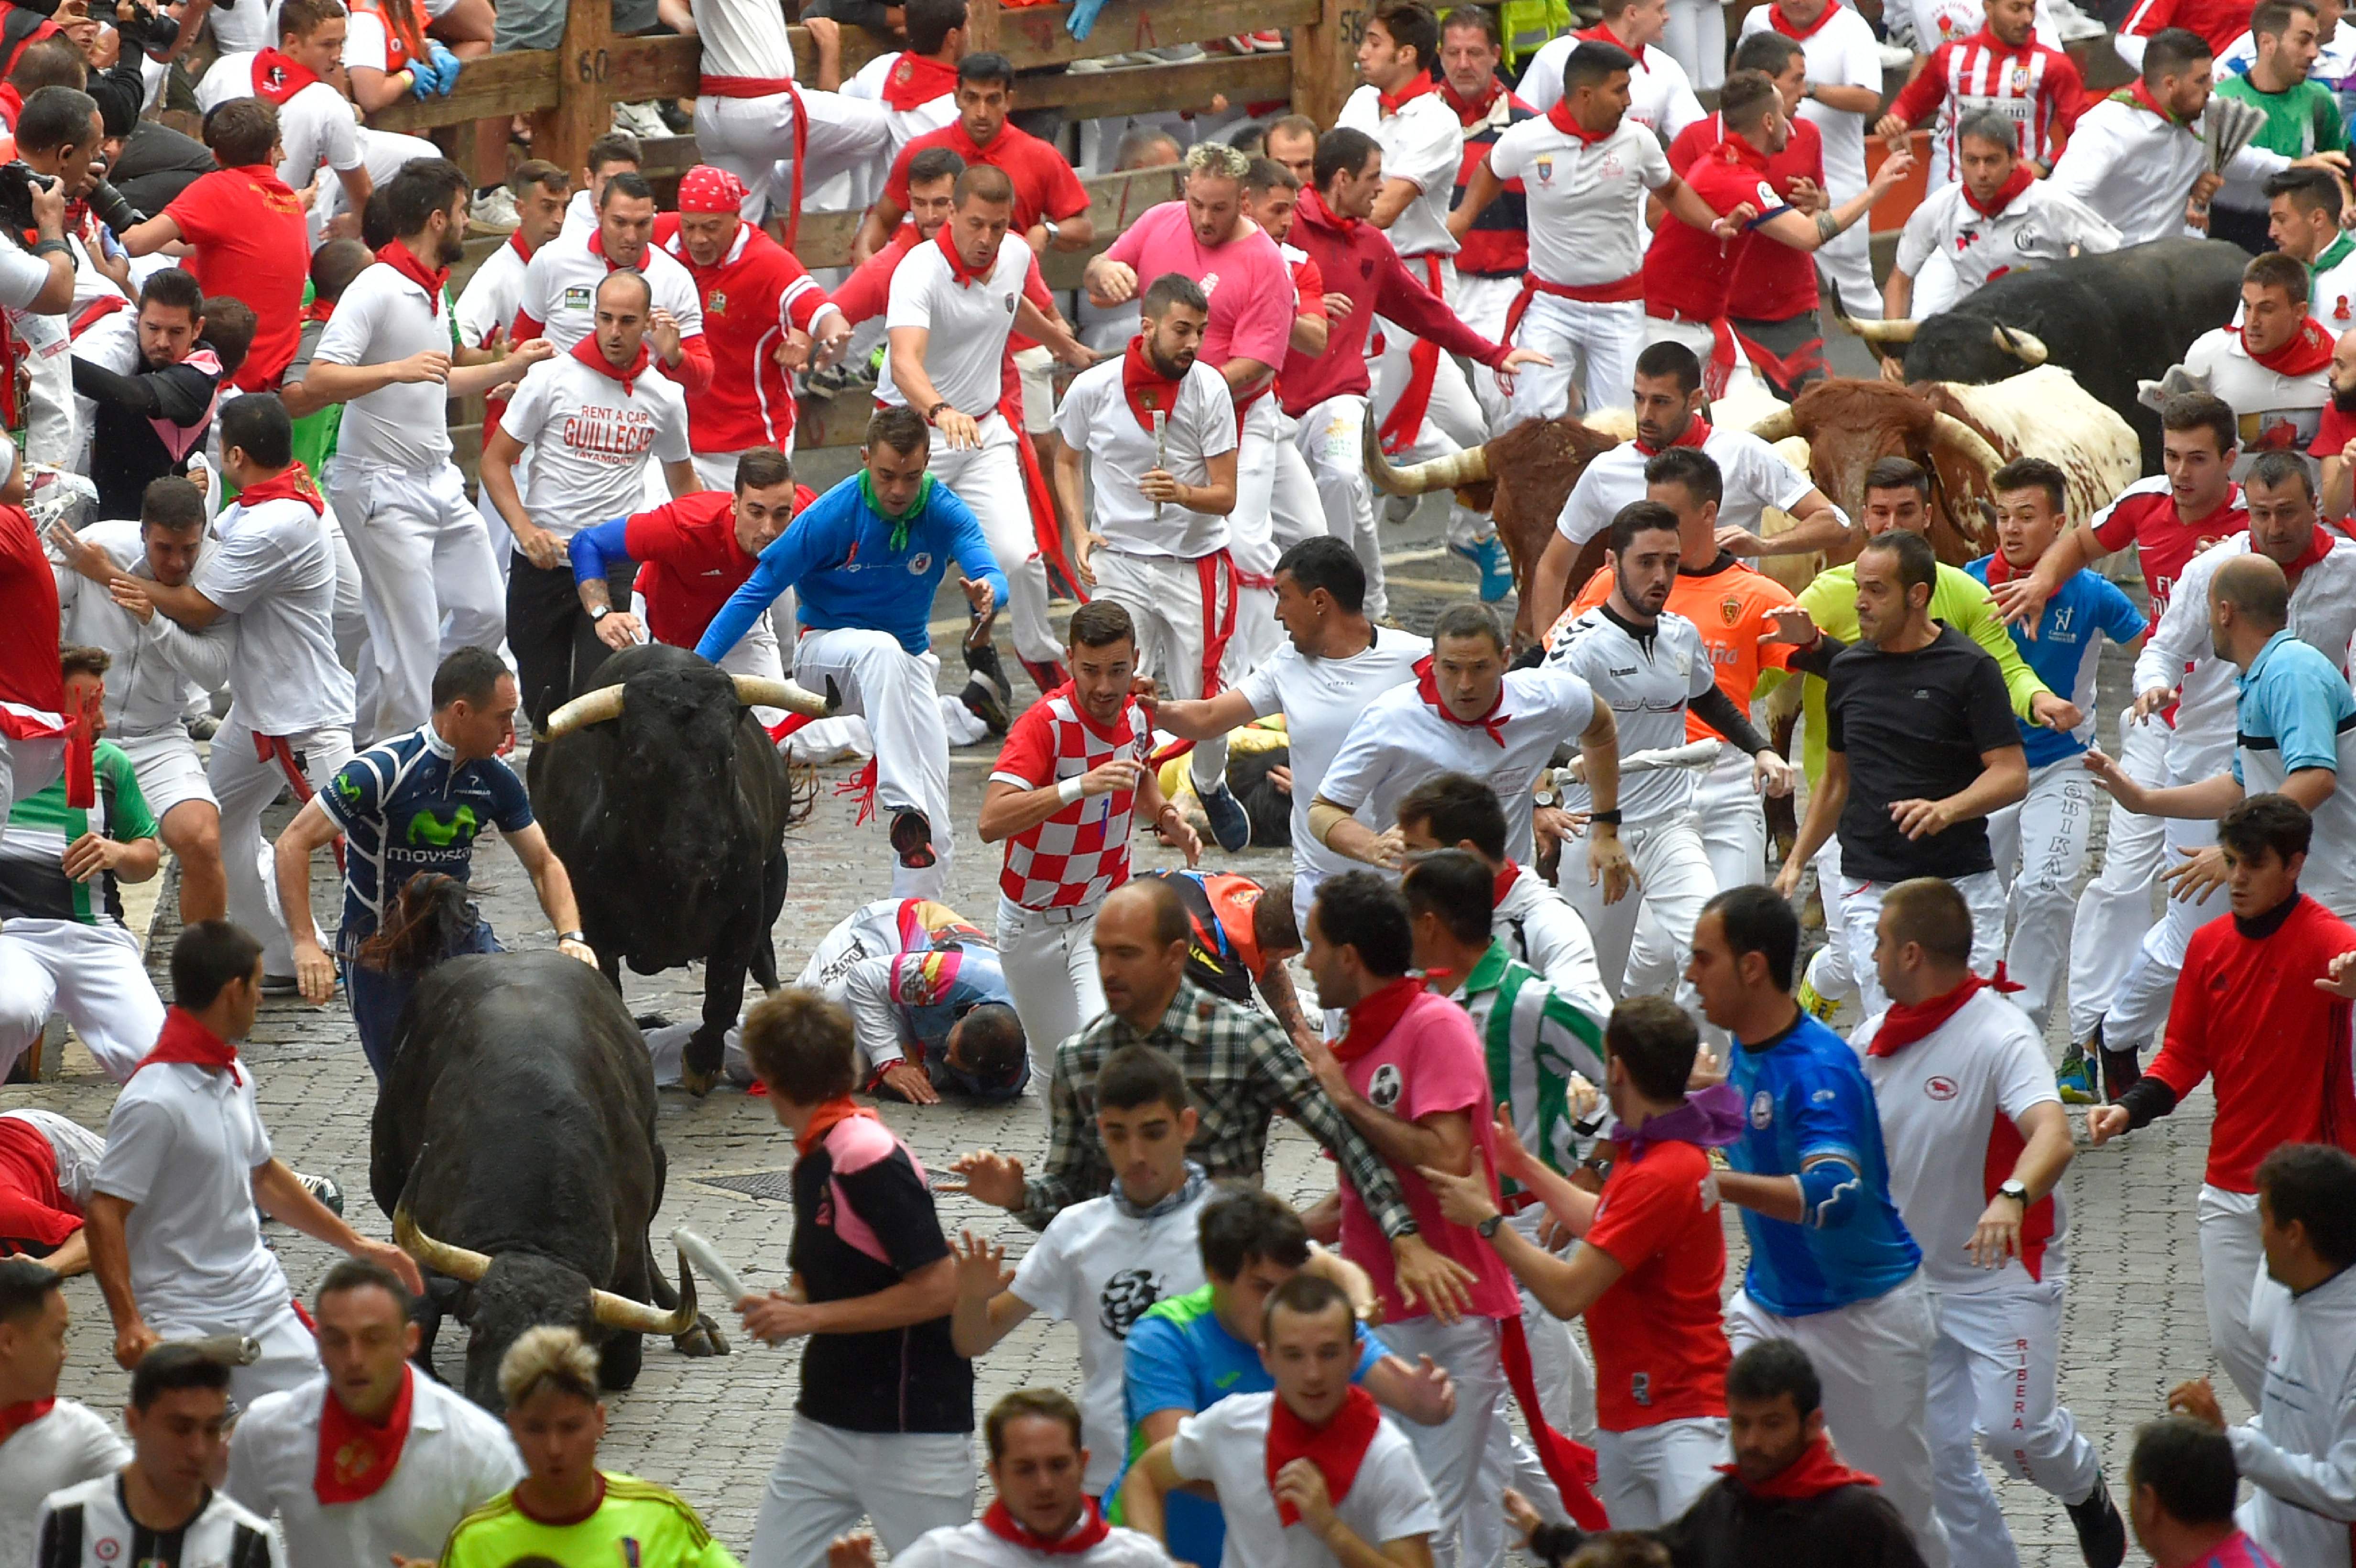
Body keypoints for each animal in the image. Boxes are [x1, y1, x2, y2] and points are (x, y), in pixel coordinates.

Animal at [527, 640, 801, 1092]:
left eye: (729, 752)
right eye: (641, 759)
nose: (704, 852)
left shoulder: (746, 911)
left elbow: (724, 995)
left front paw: (701, 1063)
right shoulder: (591, 922)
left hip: (774, 878)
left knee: (765, 965)